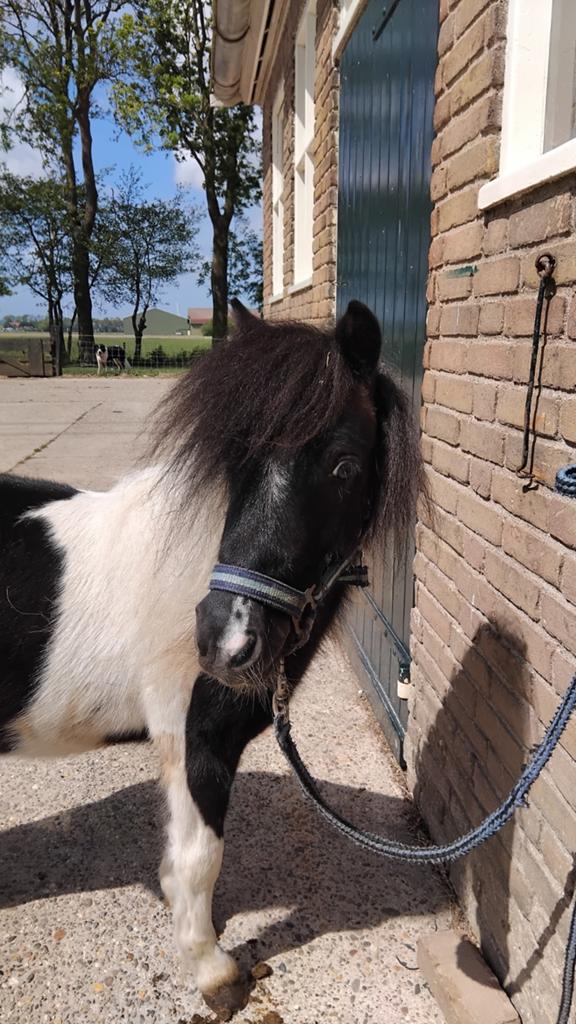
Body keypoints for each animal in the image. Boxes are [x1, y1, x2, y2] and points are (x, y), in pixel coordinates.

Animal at [0, 300, 423, 1017]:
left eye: (343, 464)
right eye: (235, 458)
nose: (225, 640)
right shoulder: (193, 739)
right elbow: (199, 859)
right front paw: (213, 971)